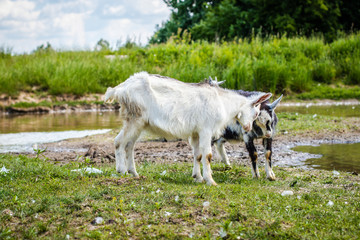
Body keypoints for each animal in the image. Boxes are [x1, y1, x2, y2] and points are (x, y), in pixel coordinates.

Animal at [104, 72, 270, 187]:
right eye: (256, 113)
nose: (247, 127)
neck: (222, 102)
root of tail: (119, 89)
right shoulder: (206, 129)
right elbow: (207, 155)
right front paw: (210, 181)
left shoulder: (195, 132)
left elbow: (197, 155)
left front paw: (198, 177)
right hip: (134, 119)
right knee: (119, 141)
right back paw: (121, 171)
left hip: (138, 123)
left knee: (129, 145)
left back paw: (134, 173)